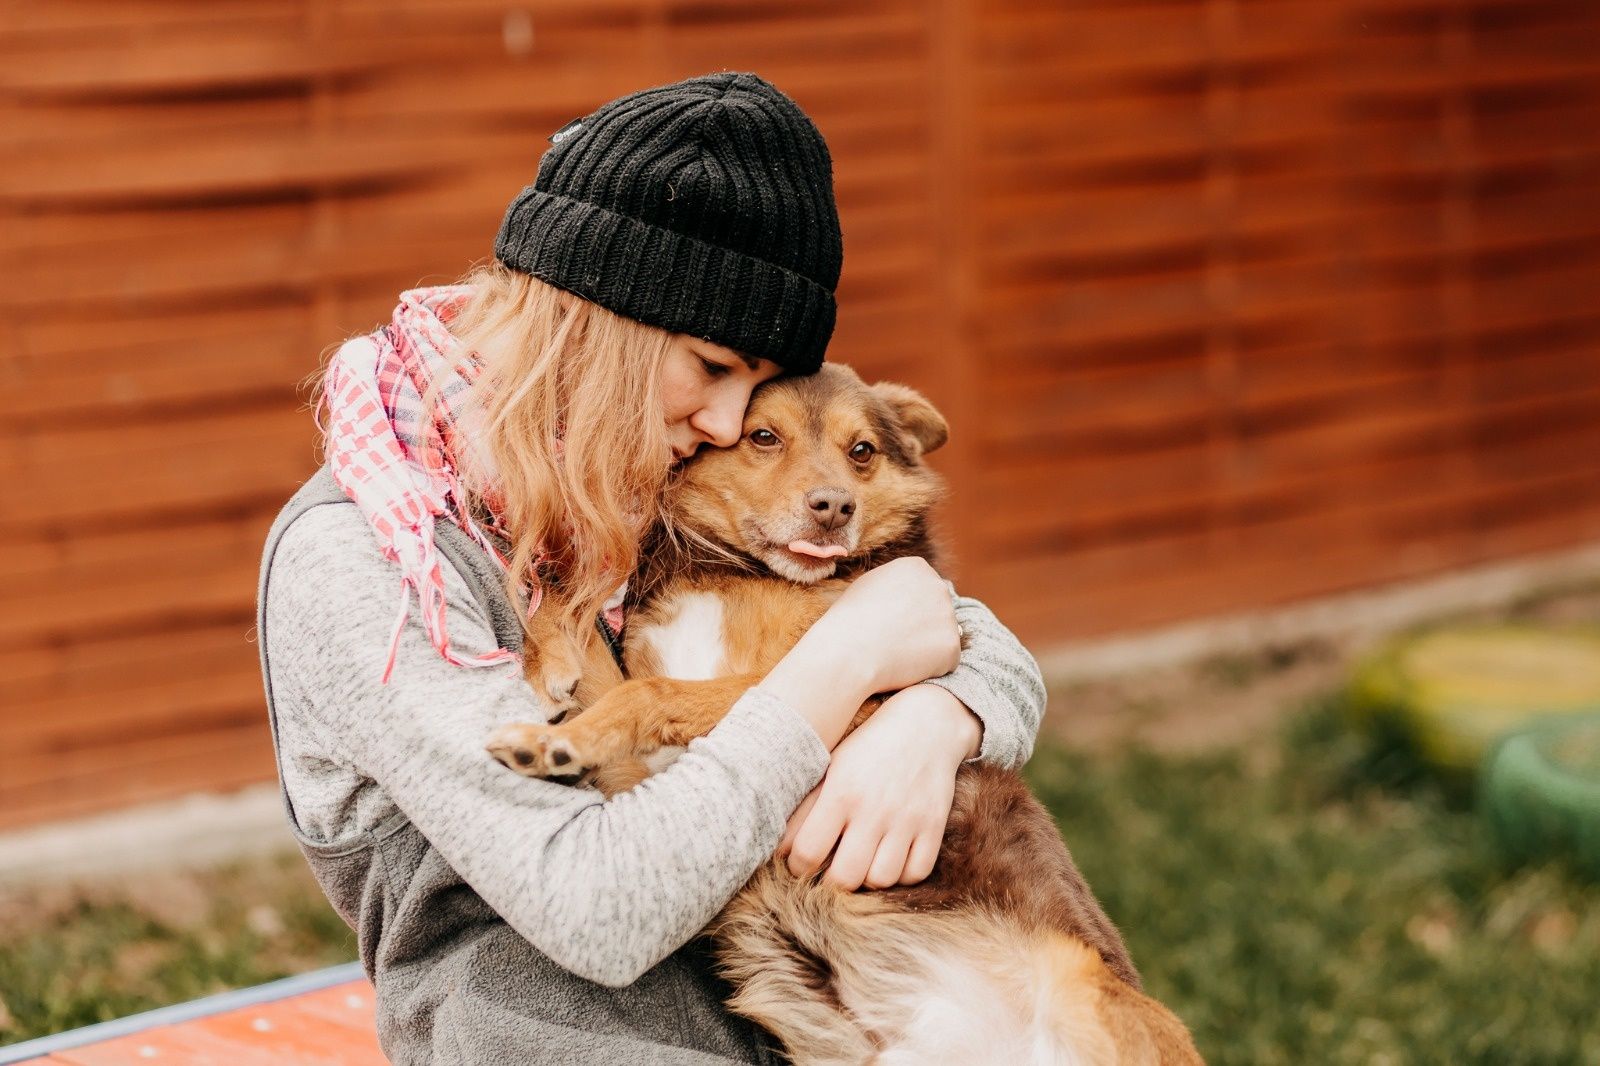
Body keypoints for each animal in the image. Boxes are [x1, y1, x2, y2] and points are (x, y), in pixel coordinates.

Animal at [486, 361, 1203, 1056]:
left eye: (862, 451)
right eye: (763, 436)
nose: (834, 507)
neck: (738, 574)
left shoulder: (854, 701)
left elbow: (652, 692)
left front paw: (557, 742)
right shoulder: (650, 770)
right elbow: (576, 615)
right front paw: (548, 661)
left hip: (1091, 992)